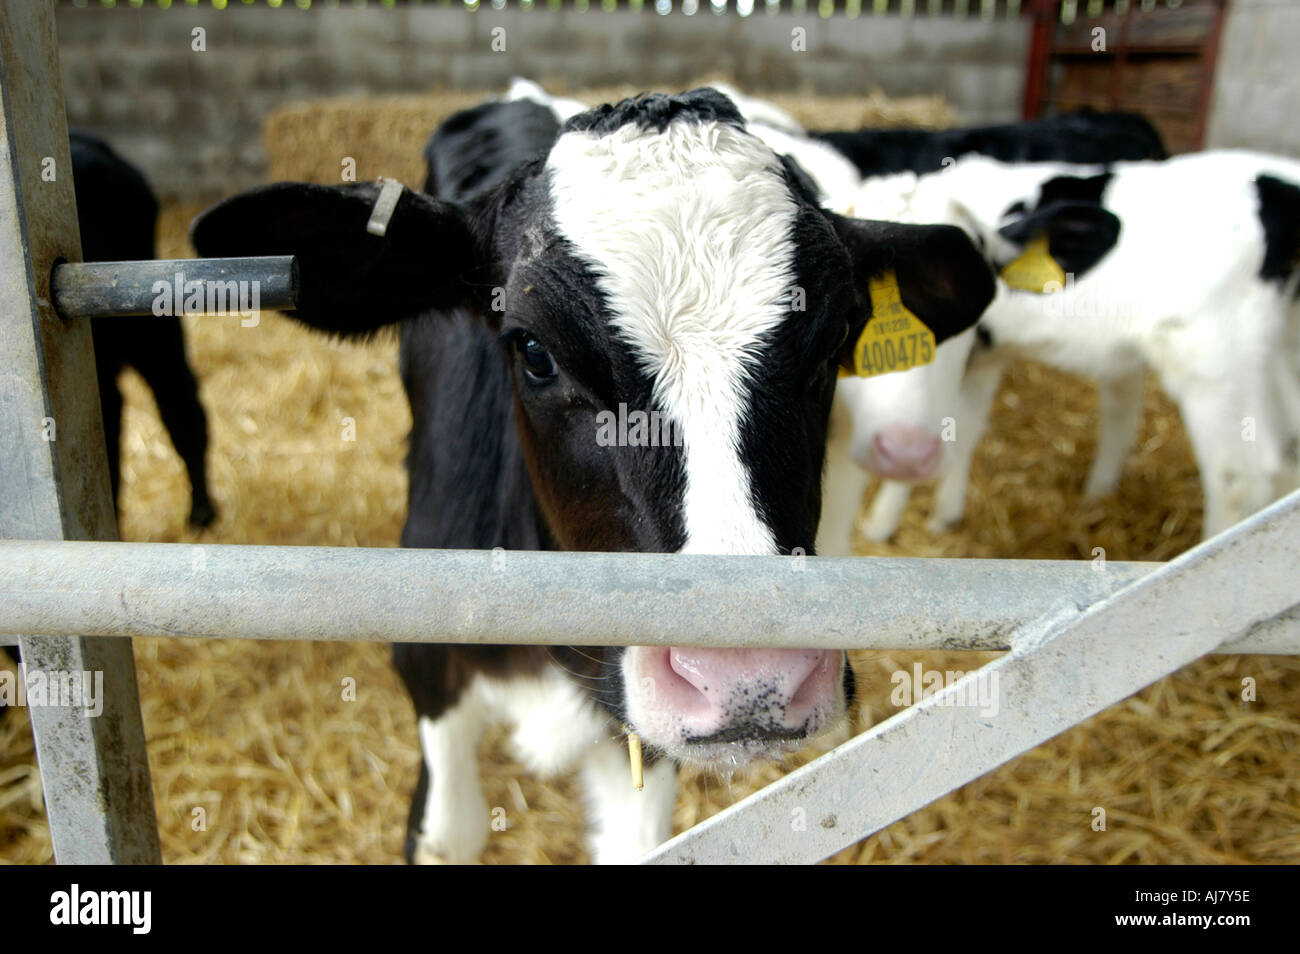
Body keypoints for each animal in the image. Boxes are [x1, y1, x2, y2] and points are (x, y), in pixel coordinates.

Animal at [816, 151, 1300, 553]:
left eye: (973, 284)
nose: (905, 452)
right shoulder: (984, 358)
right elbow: (965, 427)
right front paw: (941, 514)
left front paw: (881, 522)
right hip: (1275, 356)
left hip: (1213, 363)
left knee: (1239, 478)